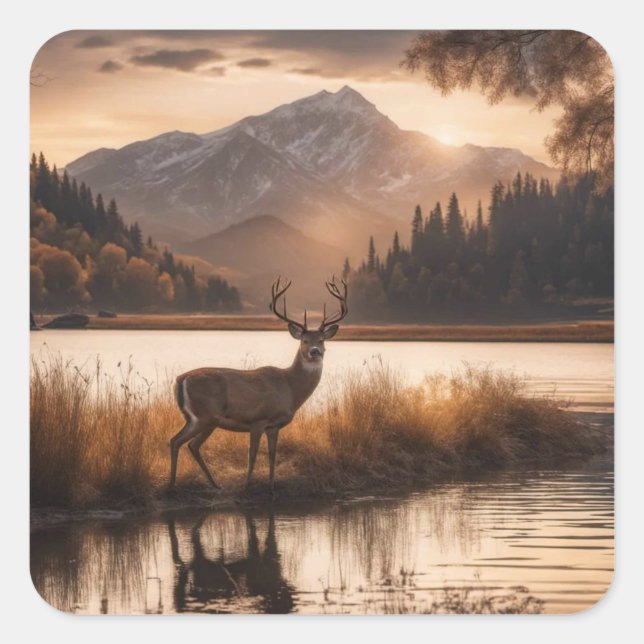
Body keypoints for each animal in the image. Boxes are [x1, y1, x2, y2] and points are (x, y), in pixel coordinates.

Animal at [169, 277, 348, 496]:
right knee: (185, 443)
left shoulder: (274, 426)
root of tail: (180, 379)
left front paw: (272, 488)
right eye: (304, 340)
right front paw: (247, 486)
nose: (315, 351)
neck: (290, 388)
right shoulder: (258, 420)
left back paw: (196, 484)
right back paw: (185, 485)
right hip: (207, 416)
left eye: (321, 340)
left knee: (180, 442)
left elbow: (272, 454)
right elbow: (252, 455)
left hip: (196, 418)